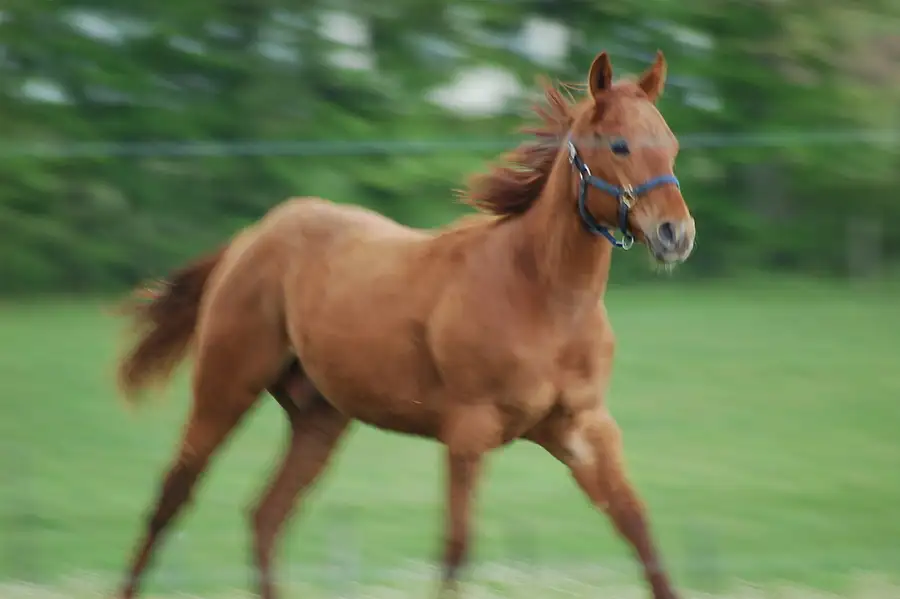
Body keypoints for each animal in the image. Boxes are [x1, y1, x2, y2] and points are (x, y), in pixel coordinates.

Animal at [114, 50, 695, 599]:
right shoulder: (469, 431)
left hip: (319, 419)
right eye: (618, 145)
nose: (676, 234)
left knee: (265, 516)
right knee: (171, 497)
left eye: (670, 144)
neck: (542, 297)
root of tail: (254, 235)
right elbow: (456, 548)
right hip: (226, 387)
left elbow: (637, 525)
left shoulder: (583, 427)